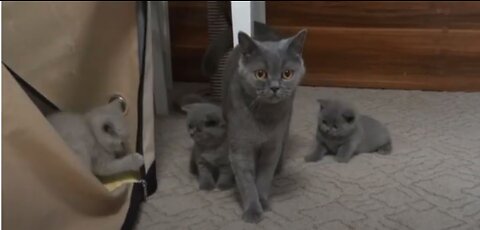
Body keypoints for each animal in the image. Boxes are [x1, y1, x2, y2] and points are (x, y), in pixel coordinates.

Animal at [222, 28, 308, 223]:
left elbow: (264, 175)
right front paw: (253, 210)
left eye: (287, 74)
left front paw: (262, 201)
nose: (275, 87)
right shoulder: (240, 146)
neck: (265, 116)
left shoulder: (272, 145)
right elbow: (246, 181)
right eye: (260, 74)